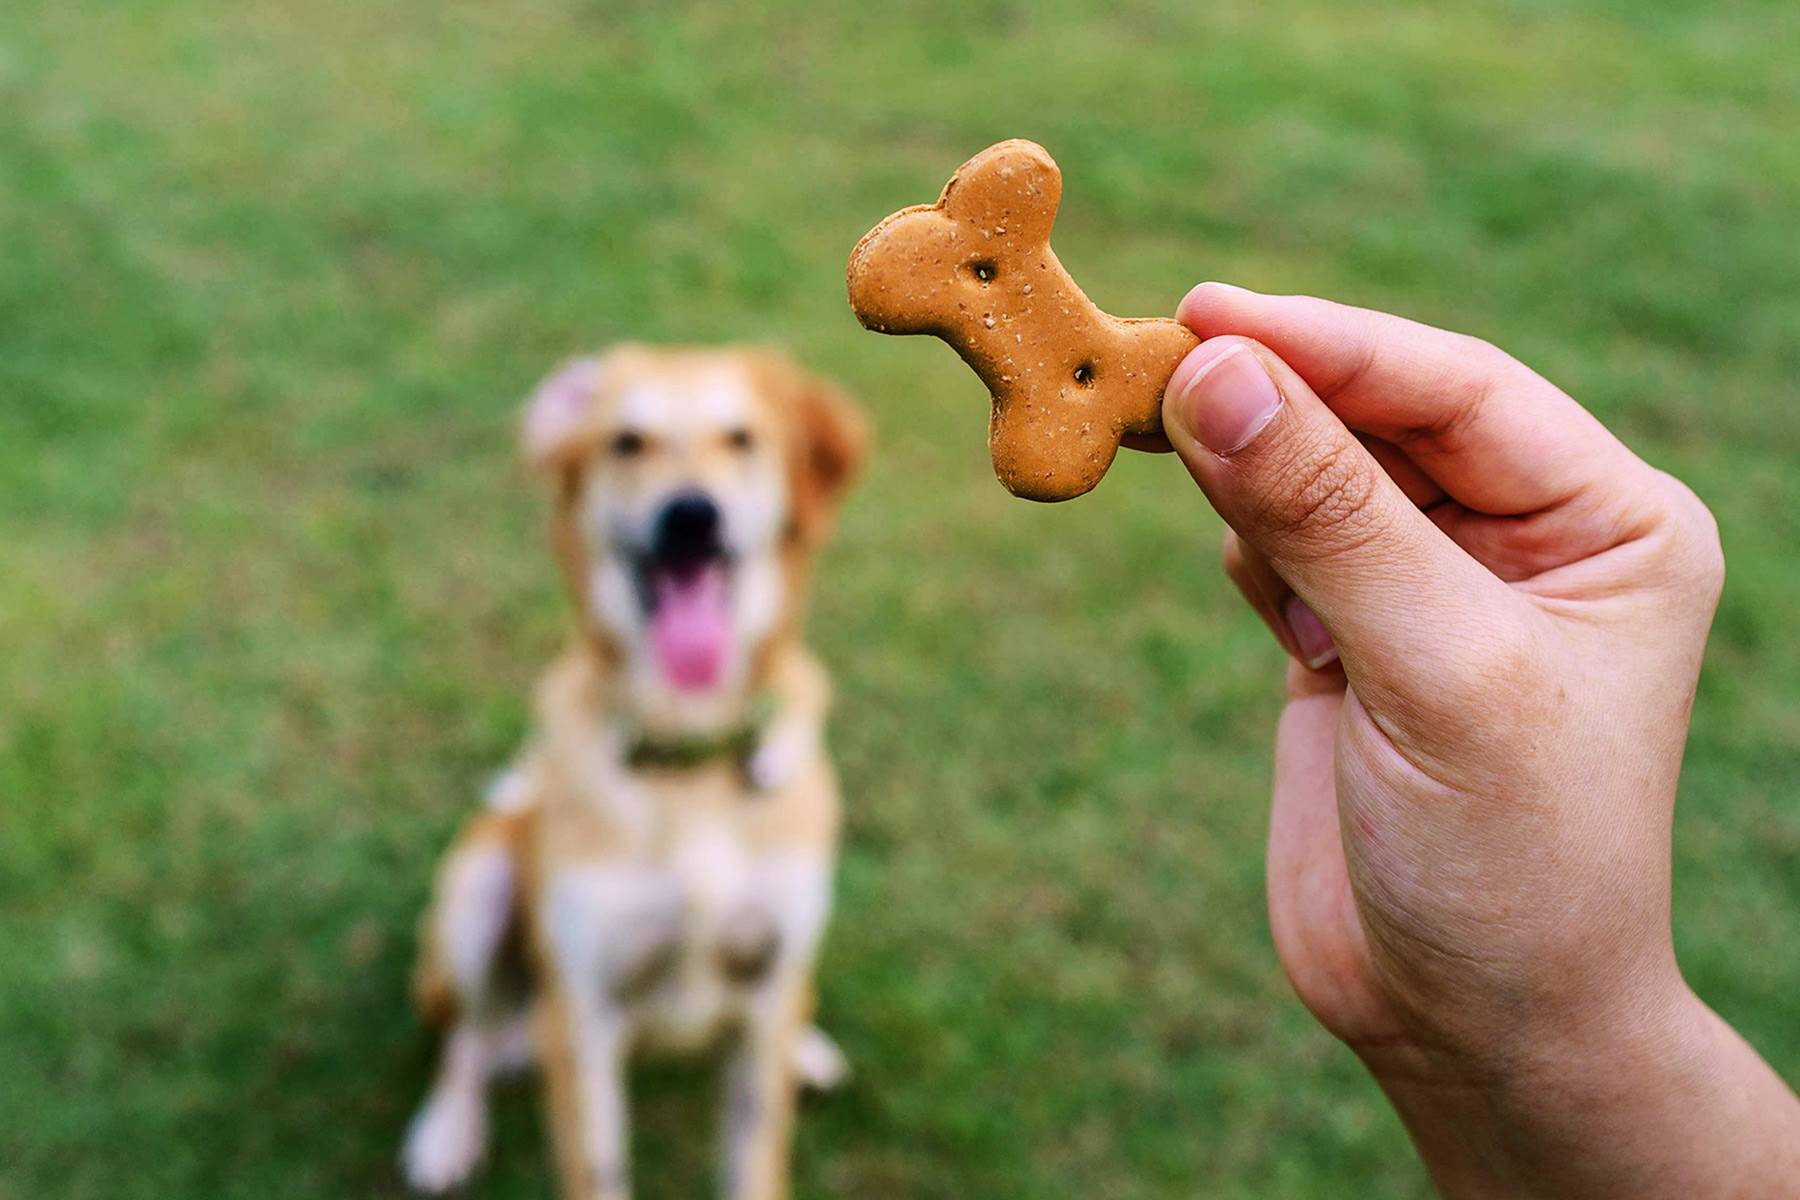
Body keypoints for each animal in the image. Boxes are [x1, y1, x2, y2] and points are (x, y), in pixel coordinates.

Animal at [401, 341, 864, 1194]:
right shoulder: (583, 1017)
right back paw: (446, 1129)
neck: (689, 755)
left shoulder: (764, 991)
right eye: (626, 442)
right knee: (467, 1038)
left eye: (741, 439)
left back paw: (809, 1050)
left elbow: (755, 1157)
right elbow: (597, 1168)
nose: (691, 515)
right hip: (477, 891)